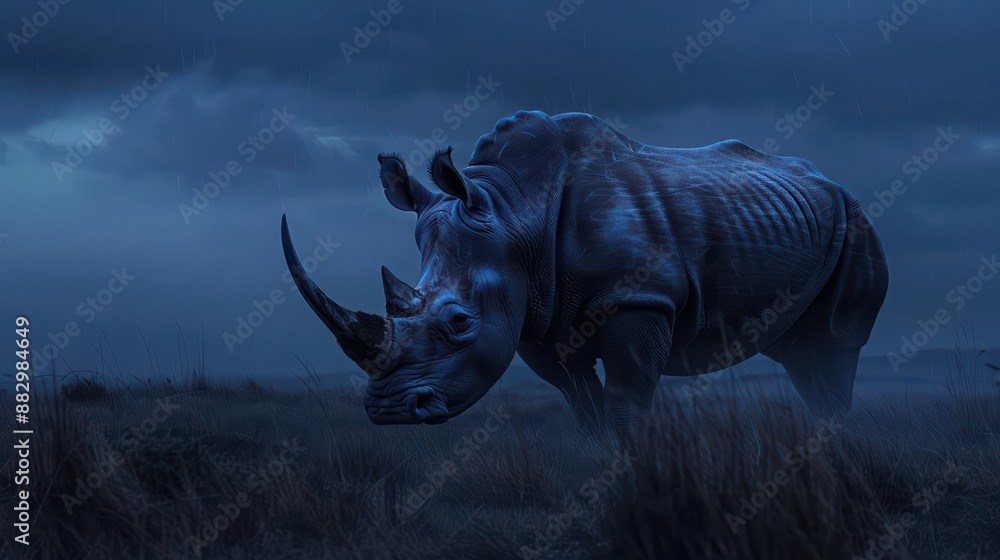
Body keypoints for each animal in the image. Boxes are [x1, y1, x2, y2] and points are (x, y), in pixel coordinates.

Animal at [281, 110, 888, 431]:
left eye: (458, 323)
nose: (388, 410)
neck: (514, 212)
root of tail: (829, 180)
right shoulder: (536, 318)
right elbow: (585, 409)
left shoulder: (638, 298)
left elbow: (625, 404)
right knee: (801, 356)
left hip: (857, 220)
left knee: (833, 346)